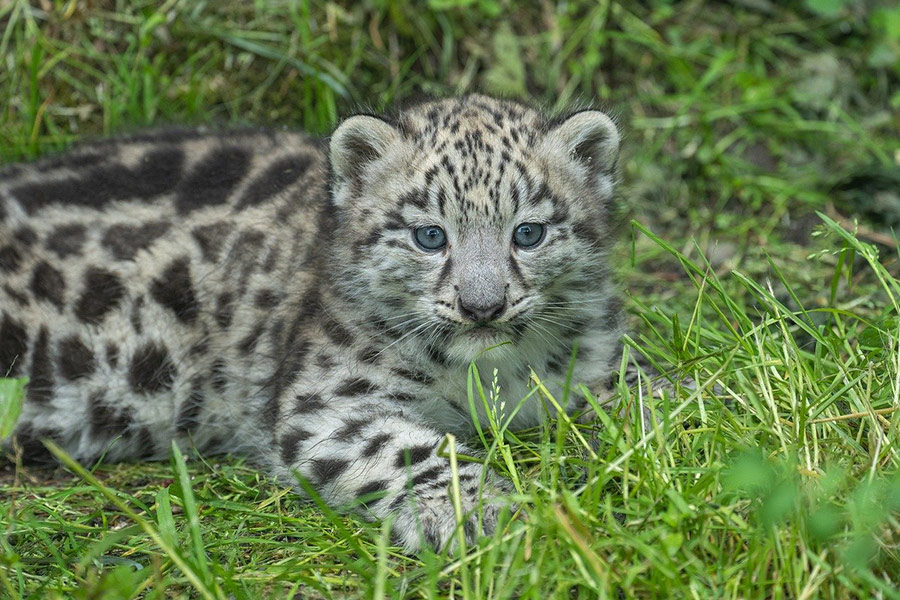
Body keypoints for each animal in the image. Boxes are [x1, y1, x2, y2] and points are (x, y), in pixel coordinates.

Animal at [0, 94, 649, 552]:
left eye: (528, 233)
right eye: (430, 236)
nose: (482, 306)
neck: (489, 377)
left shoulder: (598, 357)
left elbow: (651, 395)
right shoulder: (330, 400)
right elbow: (409, 454)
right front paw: (486, 512)